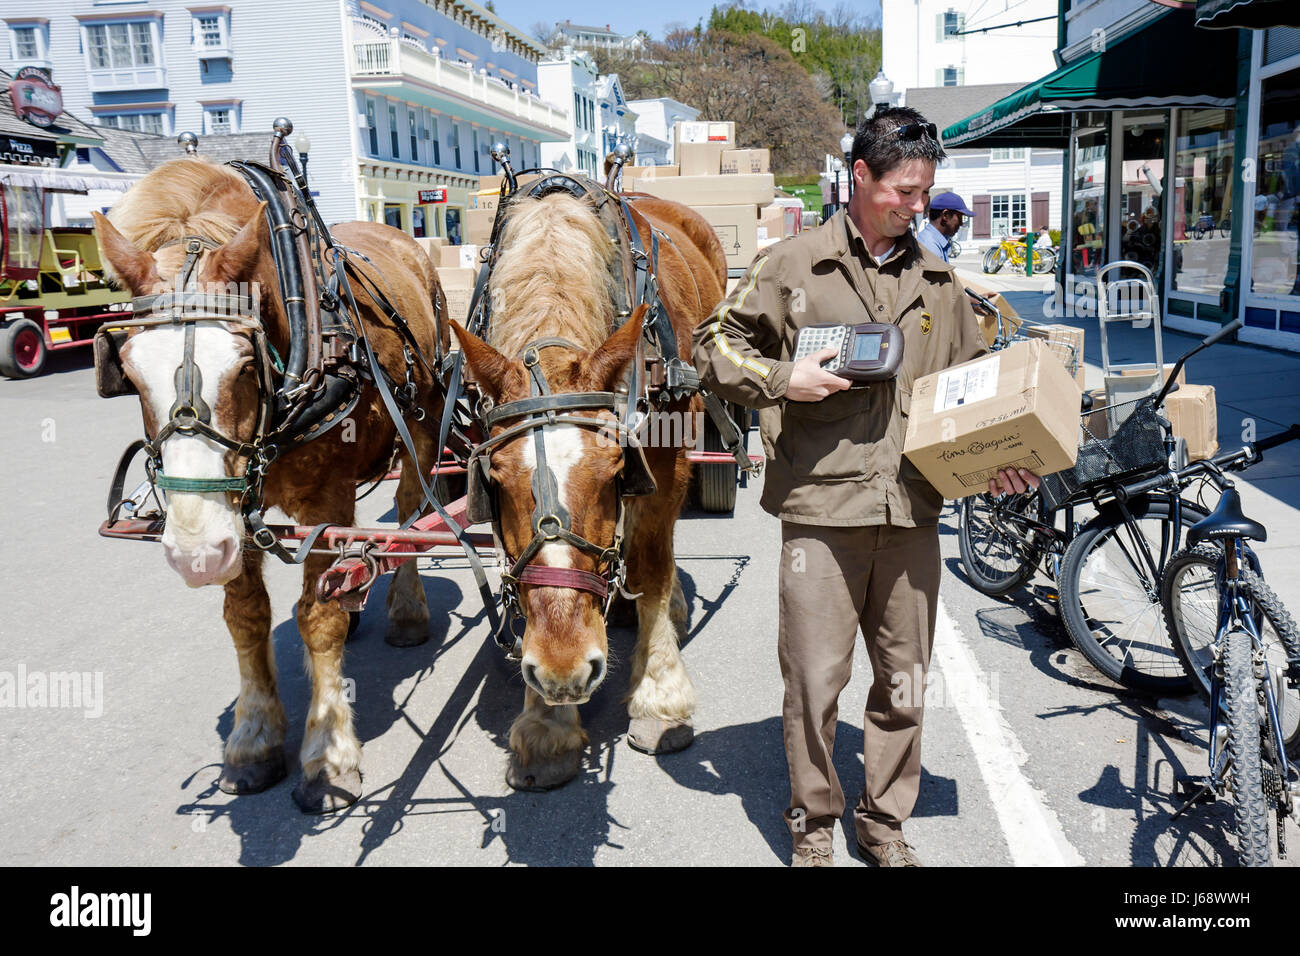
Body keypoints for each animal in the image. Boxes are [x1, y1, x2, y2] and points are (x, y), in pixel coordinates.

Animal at [92, 158, 447, 816]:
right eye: (126, 370)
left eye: (244, 364)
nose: (195, 553)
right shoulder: (233, 511)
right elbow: (247, 615)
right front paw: (253, 740)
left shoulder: (328, 499)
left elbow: (317, 618)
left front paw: (327, 755)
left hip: (423, 422)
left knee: (413, 514)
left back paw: (406, 610)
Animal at [452, 188, 728, 790]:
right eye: (495, 478)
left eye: (612, 469)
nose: (563, 666)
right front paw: (547, 720)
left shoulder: (665, 464)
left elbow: (651, 564)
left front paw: (659, 697)